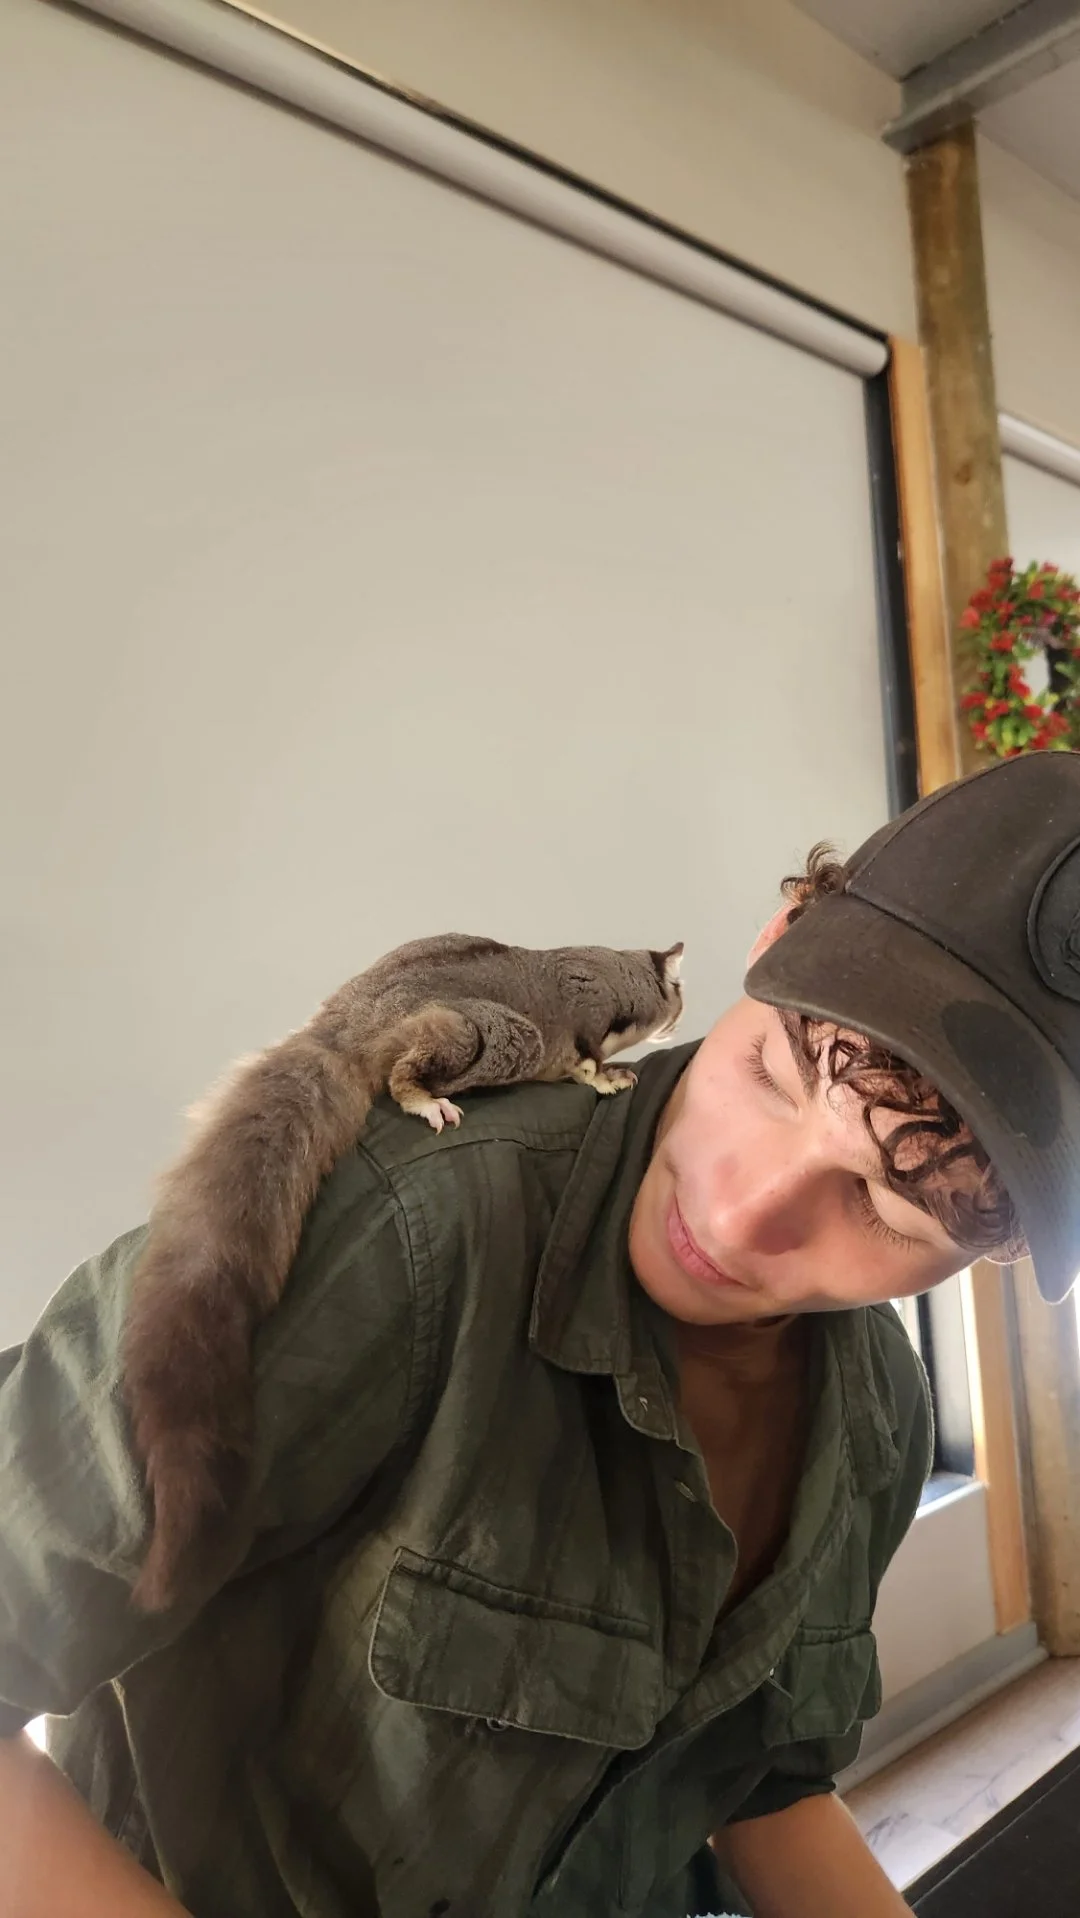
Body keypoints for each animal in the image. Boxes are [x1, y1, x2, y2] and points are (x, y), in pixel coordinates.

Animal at [123, 932, 685, 1612]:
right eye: (677, 994)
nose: (680, 1013)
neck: (620, 966)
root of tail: (342, 1026)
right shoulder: (587, 1013)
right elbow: (586, 1056)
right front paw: (607, 1078)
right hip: (484, 1031)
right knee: (435, 1059)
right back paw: (423, 1095)